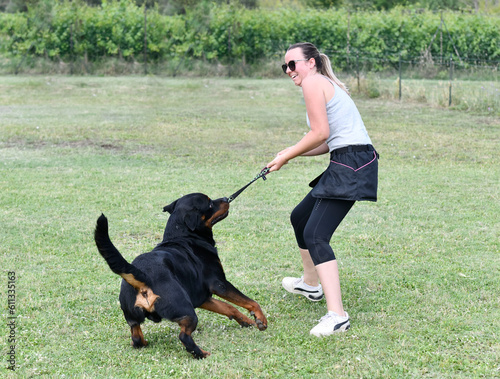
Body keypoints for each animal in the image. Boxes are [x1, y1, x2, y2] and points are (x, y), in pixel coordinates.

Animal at [94, 194, 266, 358]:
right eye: (210, 204)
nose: (225, 199)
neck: (183, 236)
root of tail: (143, 276)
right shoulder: (219, 284)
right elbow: (250, 302)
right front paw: (261, 320)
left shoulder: (202, 297)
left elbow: (229, 307)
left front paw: (248, 321)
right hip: (186, 310)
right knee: (184, 336)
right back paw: (201, 354)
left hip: (133, 316)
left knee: (136, 337)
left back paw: (144, 342)